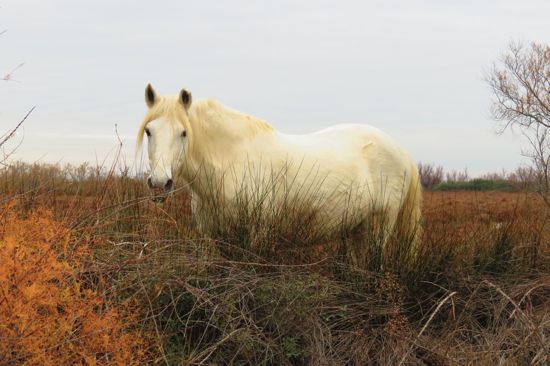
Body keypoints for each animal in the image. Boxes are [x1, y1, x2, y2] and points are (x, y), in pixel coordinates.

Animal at [138, 83, 422, 246]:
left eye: (183, 133)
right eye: (149, 131)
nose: (160, 183)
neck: (232, 159)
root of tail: (403, 153)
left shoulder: (257, 236)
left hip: (379, 228)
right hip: (356, 231)